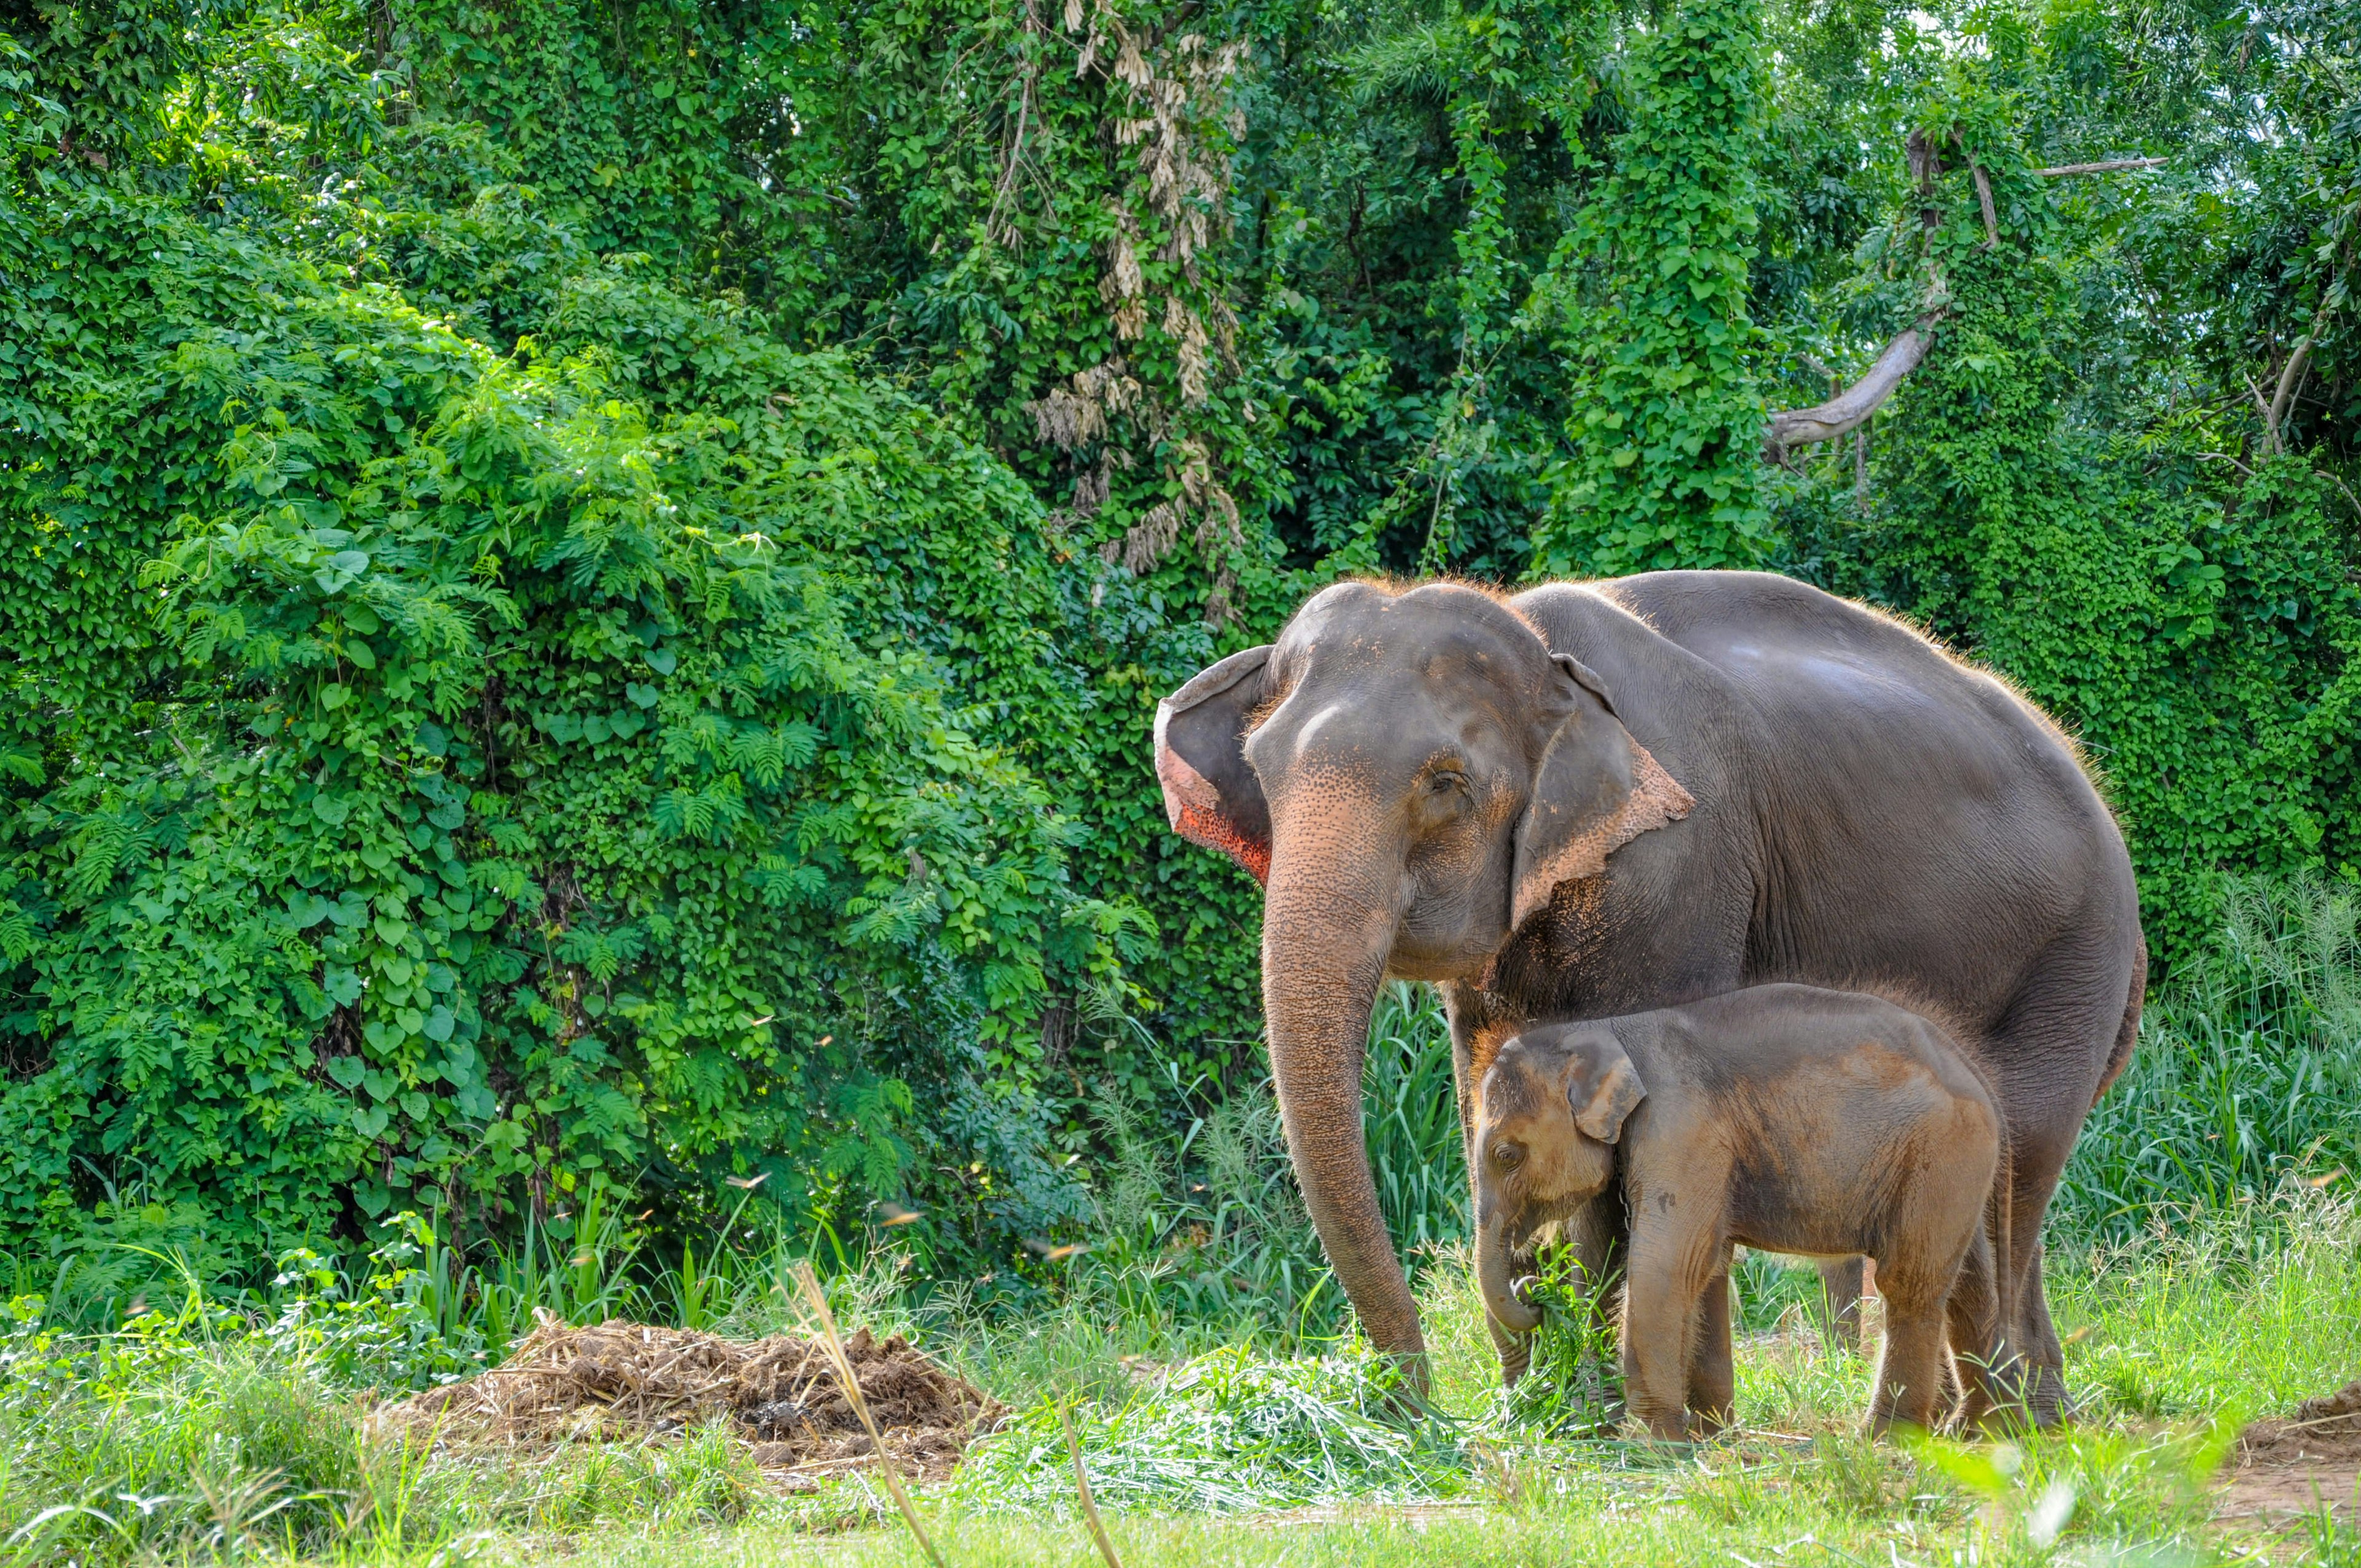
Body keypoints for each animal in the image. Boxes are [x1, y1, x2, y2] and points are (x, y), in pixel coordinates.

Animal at [1482, 987, 2002, 1435]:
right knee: (1969, 1283)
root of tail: (1973, 1071)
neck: (1604, 1030)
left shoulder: (1681, 1126)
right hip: (1957, 1167)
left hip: (1941, 1151)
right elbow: (1707, 1265)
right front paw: (1710, 1436)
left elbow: (1667, 1266)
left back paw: (1885, 1440)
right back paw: (1979, 1434)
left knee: (1910, 1282)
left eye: (1507, 1156)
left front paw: (1656, 1447)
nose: (1534, 1292)